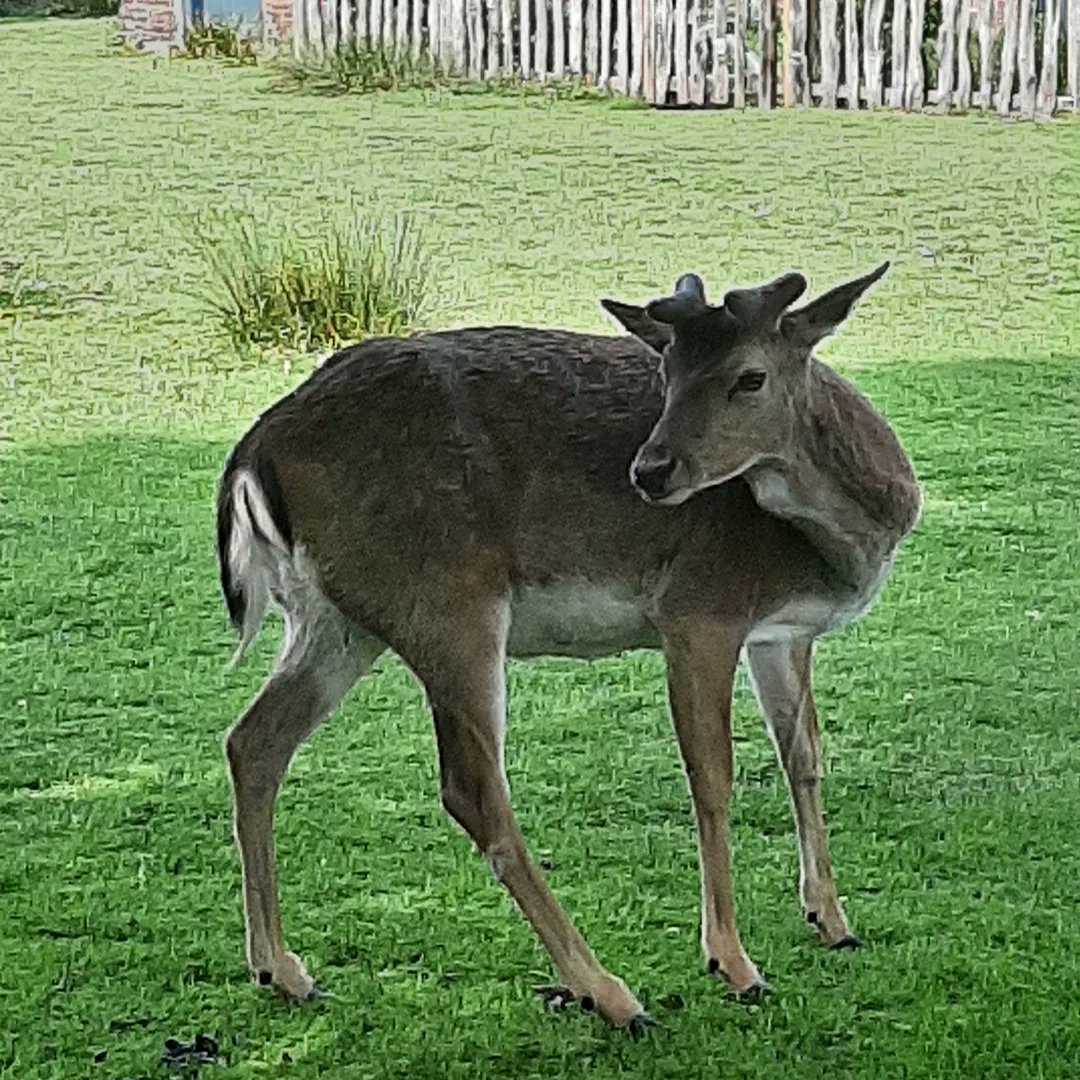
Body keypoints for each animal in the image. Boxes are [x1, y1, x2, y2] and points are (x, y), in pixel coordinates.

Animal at [217, 259, 920, 1028]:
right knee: (471, 788)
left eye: (750, 376)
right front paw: (734, 964)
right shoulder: (698, 610)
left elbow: (804, 755)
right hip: (447, 602)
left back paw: (281, 969)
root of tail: (252, 454)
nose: (651, 470)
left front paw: (832, 919)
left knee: (253, 740)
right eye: (668, 370)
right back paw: (609, 993)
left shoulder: (782, 631)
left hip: (336, 619)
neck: (839, 546)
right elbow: (712, 777)